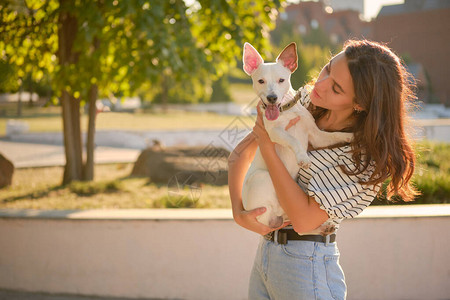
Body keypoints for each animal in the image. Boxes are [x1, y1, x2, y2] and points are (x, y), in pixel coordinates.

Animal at [241, 42, 354, 227]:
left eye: (281, 80)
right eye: (261, 81)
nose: (272, 97)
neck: (286, 111)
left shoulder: (316, 136)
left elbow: (335, 135)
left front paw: (352, 136)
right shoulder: (274, 132)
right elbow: (293, 139)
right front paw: (303, 157)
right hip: (262, 177)